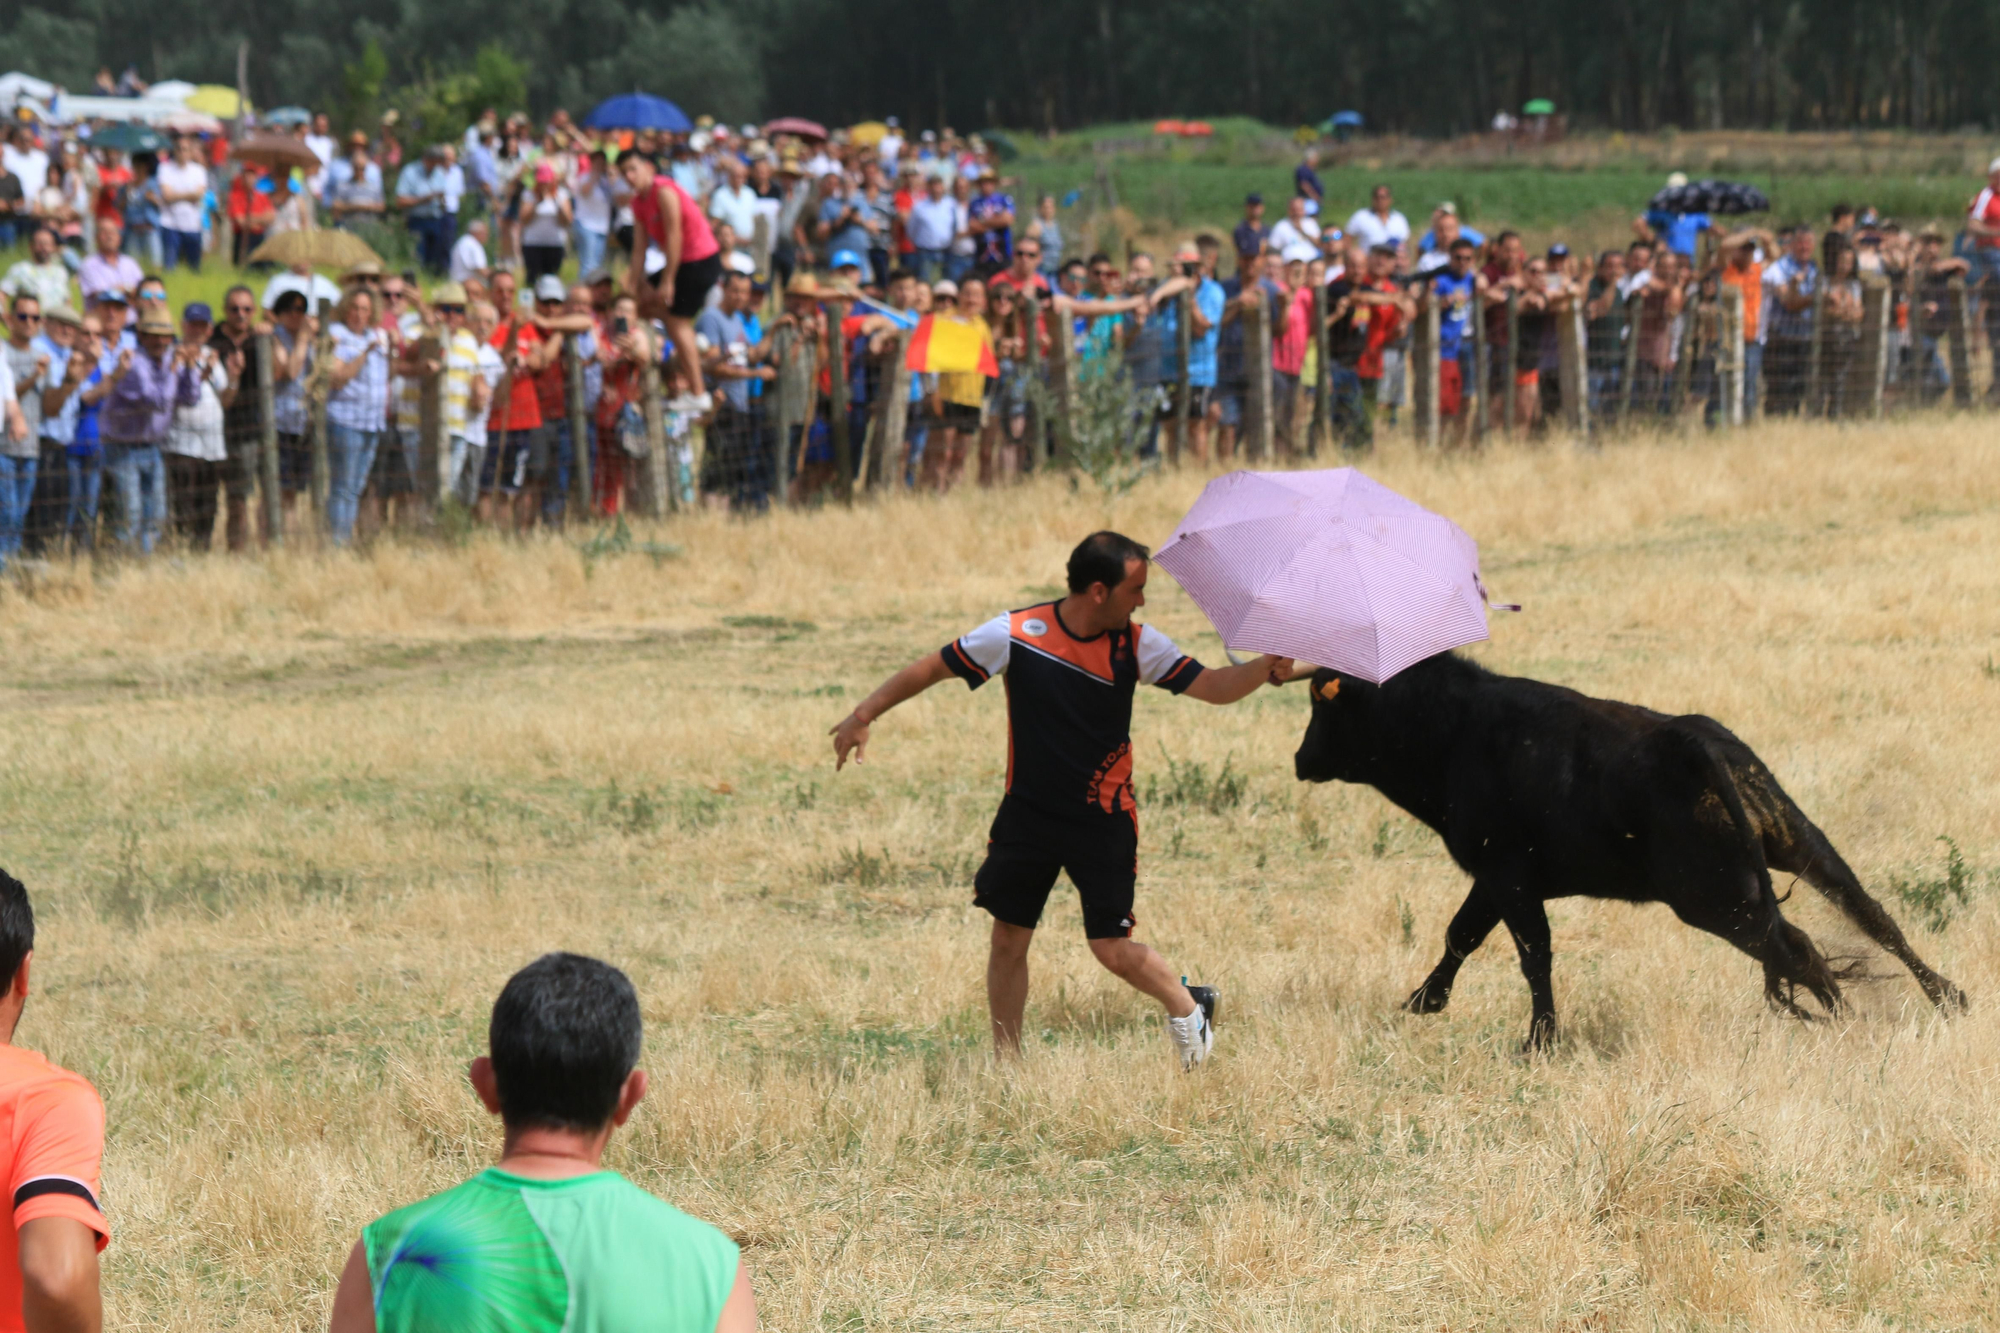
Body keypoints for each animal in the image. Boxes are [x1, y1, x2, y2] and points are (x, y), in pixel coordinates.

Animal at [1288, 648, 1960, 1040]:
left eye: (1322, 709)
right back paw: (1947, 998)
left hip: (1714, 898)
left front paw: (1540, 1040)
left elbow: (1528, 952)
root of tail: (1698, 743)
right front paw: (1424, 1002)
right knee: (1872, 917)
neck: (1455, 731)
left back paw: (1850, 1023)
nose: (1300, 759)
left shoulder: (1506, 875)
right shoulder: (1495, 879)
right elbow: (1465, 934)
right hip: (1800, 844)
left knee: (1798, 949)